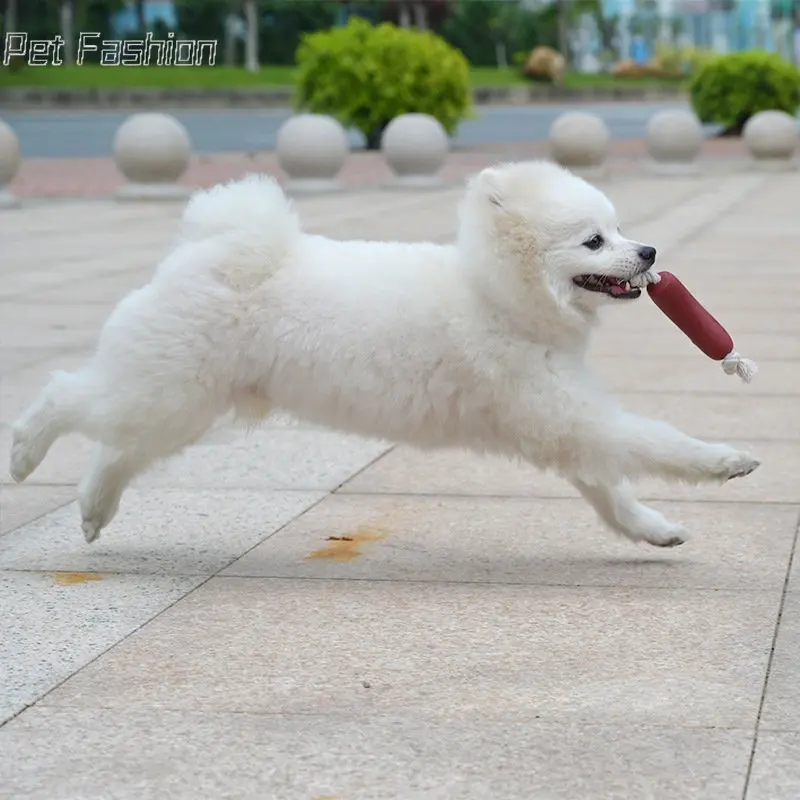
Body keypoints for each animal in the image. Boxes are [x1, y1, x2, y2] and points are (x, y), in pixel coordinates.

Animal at [9, 159, 760, 548]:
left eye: (620, 228)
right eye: (595, 240)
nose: (651, 252)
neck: (495, 295)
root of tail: (215, 248)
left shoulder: (562, 422)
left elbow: (611, 492)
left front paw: (653, 529)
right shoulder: (566, 413)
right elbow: (654, 442)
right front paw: (724, 461)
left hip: (181, 403)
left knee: (117, 447)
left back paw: (92, 510)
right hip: (166, 389)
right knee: (66, 396)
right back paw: (23, 452)